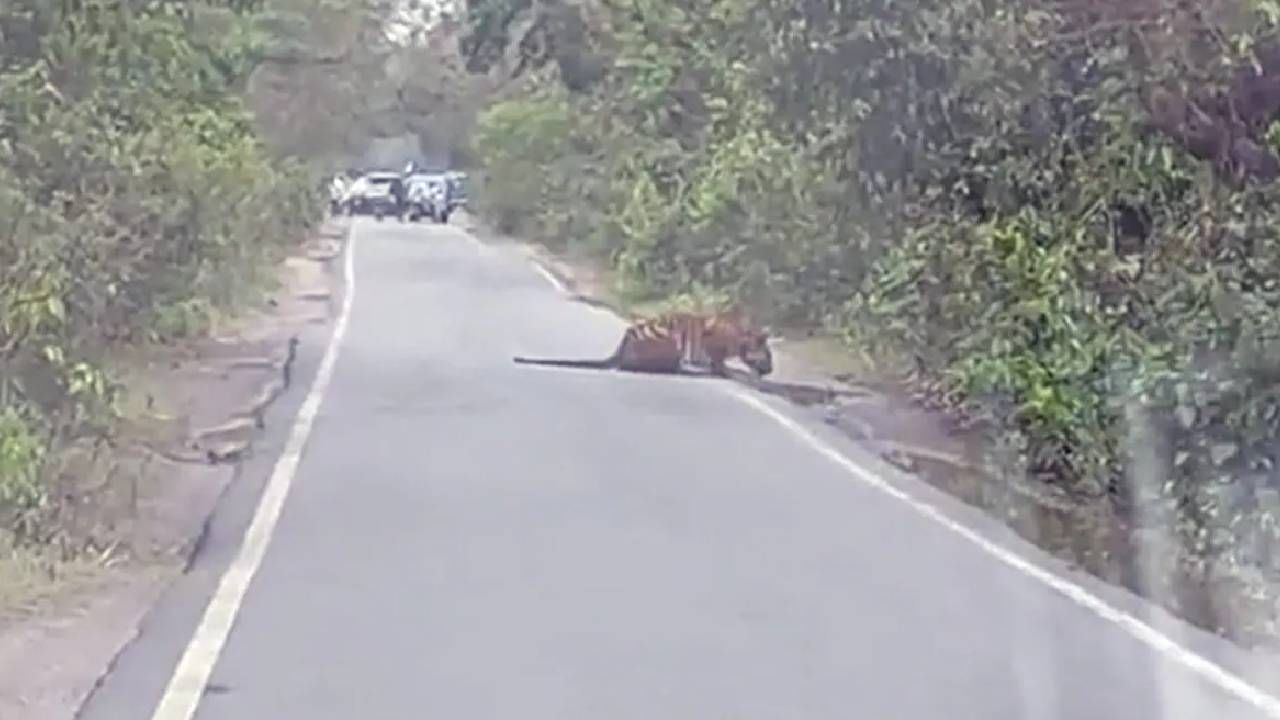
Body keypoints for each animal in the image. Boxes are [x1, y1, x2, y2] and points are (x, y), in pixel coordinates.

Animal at [512, 307, 773, 376]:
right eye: (768, 357)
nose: (770, 370)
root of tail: (622, 346)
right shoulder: (713, 346)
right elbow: (719, 362)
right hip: (670, 341)